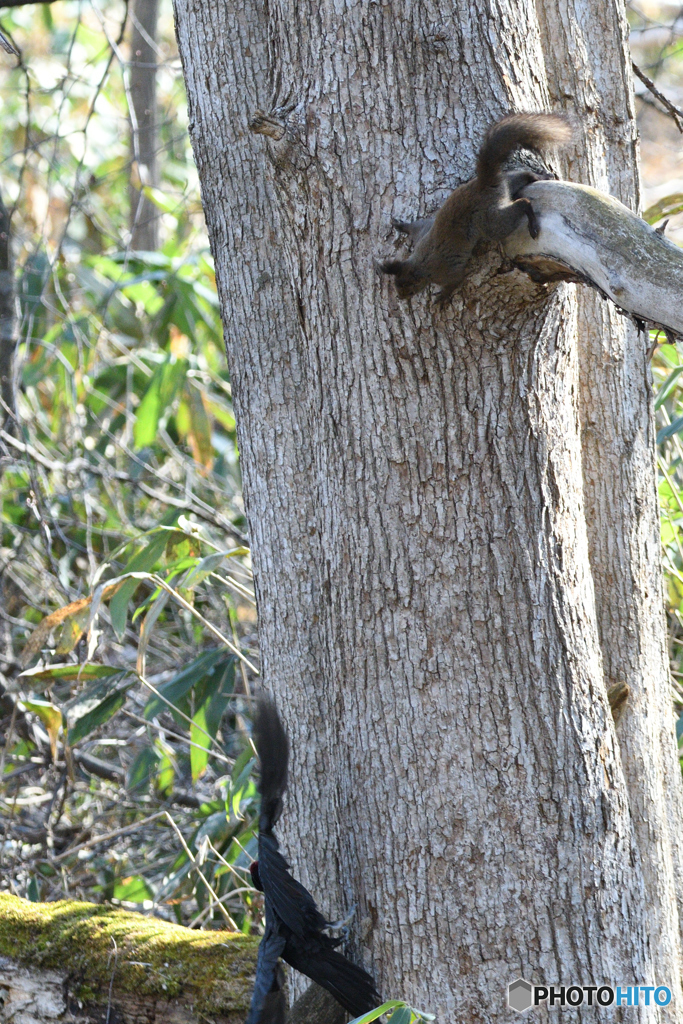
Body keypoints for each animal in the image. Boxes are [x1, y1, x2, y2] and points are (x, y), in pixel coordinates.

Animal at [382, 113, 573, 303]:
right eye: (397, 285)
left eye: (408, 288)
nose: (400, 297)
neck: (420, 264)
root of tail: (483, 184)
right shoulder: (423, 233)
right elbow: (416, 226)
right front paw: (400, 225)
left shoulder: (446, 271)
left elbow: (455, 280)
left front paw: (442, 298)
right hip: (504, 185)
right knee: (522, 176)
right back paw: (541, 176)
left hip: (491, 222)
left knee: (522, 204)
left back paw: (532, 224)